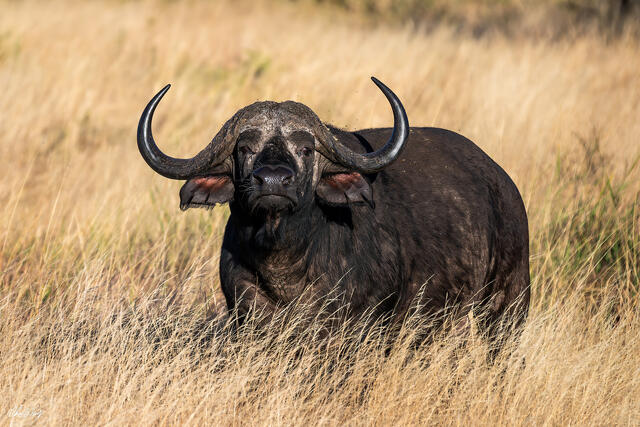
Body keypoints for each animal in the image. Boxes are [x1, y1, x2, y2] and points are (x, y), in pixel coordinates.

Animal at [137, 77, 530, 341]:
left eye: (306, 149)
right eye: (245, 148)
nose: (273, 181)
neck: (286, 264)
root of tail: (504, 185)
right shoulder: (248, 315)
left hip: (508, 305)